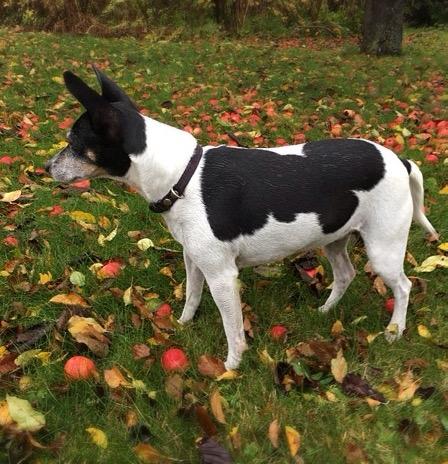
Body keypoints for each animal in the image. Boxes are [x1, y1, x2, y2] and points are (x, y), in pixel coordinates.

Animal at [45, 66, 438, 370]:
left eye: (73, 143)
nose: (46, 167)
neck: (181, 175)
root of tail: (400, 160)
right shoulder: (194, 259)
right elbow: (191, 296)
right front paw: (183, 324)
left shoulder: (222, 275)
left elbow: (231, 327)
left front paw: (231, 366)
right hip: (335, 238)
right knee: (345, 274)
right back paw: (326, 310)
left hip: (383, 247)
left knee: (403, 286)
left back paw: (395, 330)